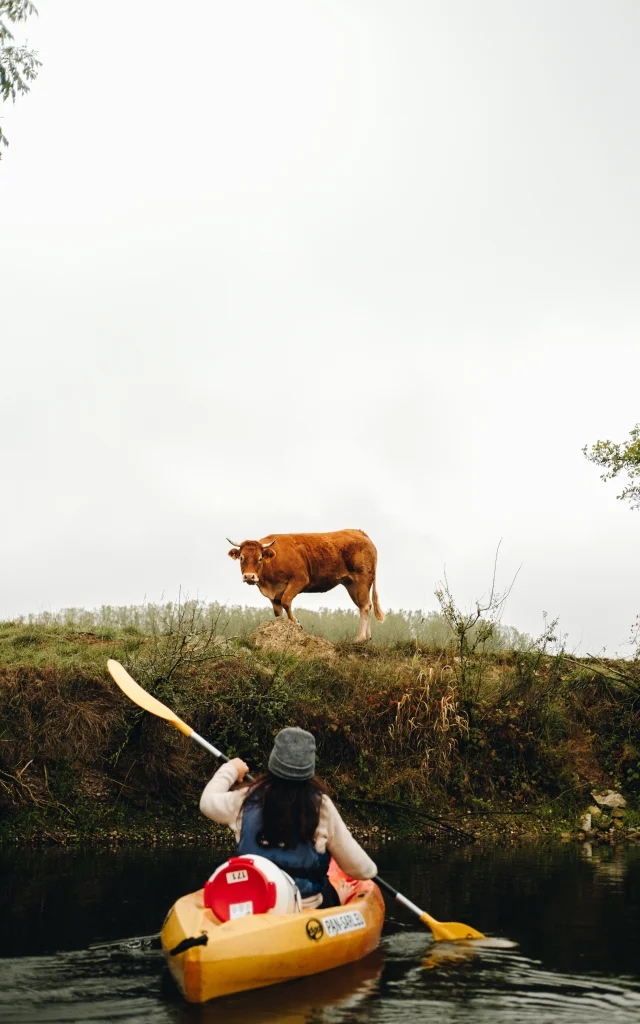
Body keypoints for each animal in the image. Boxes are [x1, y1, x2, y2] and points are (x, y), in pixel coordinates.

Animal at [226, 528, 385, 638]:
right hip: (351, 583)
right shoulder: (274, 593)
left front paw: (297, 624)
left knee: (365, 606)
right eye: (241, 557)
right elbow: (278, 612)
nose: (249, 576)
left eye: (260, 558)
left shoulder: (299, 579)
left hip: (362, 579)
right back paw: (367, 638)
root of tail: (359, 532)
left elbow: (286, 602)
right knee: (365, 605)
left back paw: (359, 638)